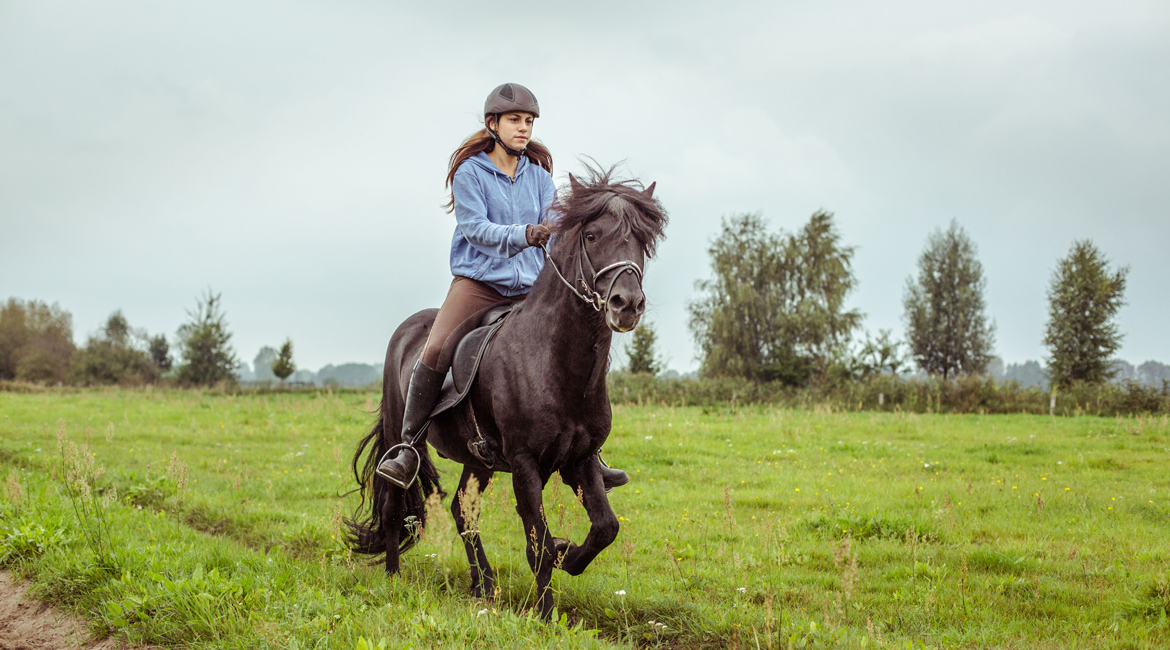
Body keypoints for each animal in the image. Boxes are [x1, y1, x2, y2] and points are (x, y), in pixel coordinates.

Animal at [346, 164, 669, 617]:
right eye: (591, 236)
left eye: (641, 241)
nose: (627, 304)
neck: (554, 363)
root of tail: (408, 328)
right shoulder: (524, 463)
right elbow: (539, 546)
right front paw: (546, 616)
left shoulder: (582, 458)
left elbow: (605, 528)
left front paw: (571, 555)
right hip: (400, 432)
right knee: (394, 502)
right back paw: (394, 579)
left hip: (477, 460)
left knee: (462, 511)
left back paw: (483, 585)